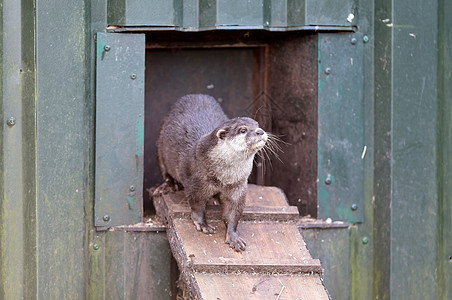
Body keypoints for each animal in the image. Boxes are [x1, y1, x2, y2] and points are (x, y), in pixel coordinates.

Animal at [156, 94, 268, 251]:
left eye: (257, 125)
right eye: (243, 130)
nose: (260, 131)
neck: (224, 177)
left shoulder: (238, 187)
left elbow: (233, 213)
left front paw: (234, 237)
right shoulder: (196, 182)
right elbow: (197, 205)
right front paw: (203, 225)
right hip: (160, 144)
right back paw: (167, 186)